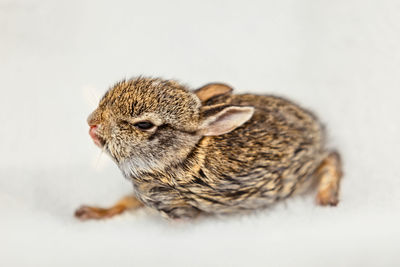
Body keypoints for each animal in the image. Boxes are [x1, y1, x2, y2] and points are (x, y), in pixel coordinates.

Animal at [76, 77, 344, 220]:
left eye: (144, 125)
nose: (91, 123)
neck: (182, 155)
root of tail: (316, 130)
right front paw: (92, 212)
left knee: (331, 158)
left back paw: (326, 197)